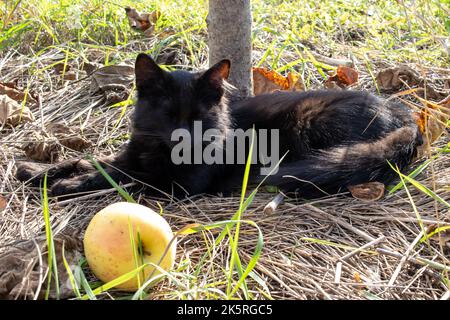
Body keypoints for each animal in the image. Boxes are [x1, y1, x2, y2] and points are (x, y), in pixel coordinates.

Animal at [14, 53, 422, 199]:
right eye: (167, 115)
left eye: (199, 117)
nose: (184, 138)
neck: (158, 152)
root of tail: (408, 116)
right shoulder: (130, 155)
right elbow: (95, 162)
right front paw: (36, 169)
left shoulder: (177, 187)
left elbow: (123, 179)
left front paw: (67, 185)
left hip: (309, 121)